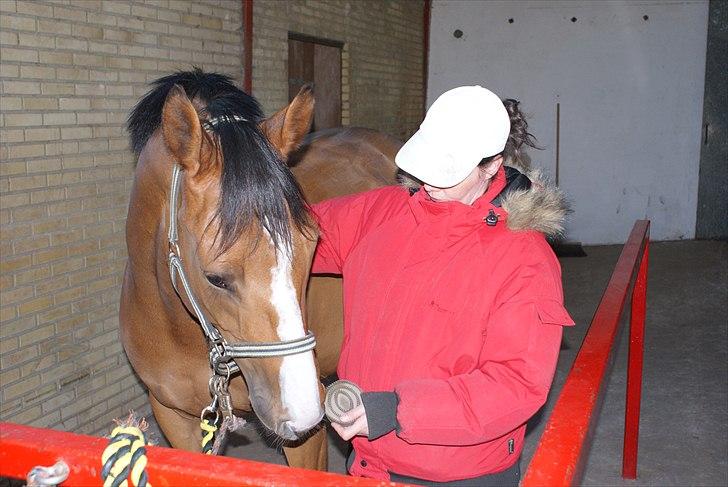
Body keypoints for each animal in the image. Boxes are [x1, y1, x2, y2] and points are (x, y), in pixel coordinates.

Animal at [121, 70, 400, 470]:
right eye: (216, 278)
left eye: (312, 249)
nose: (301, 410)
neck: (181, 332)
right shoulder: (172, 416)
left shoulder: (308, 437)